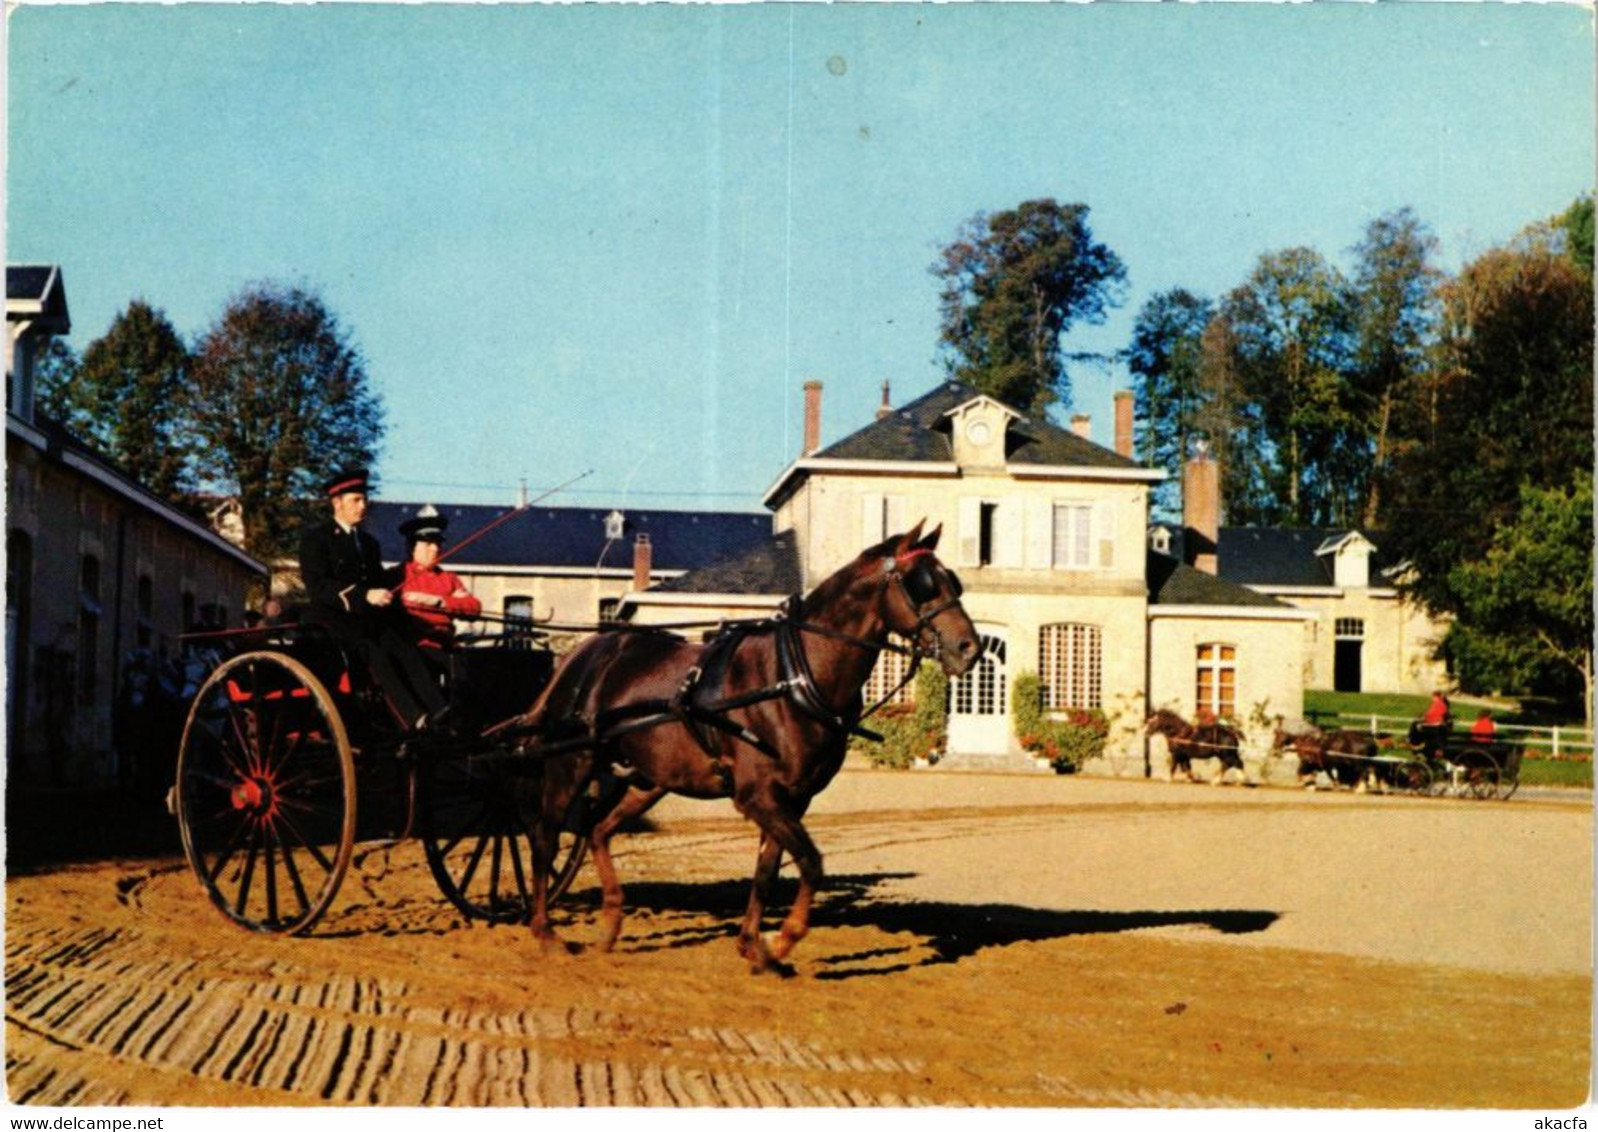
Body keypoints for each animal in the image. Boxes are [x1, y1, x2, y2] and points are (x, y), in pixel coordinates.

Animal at [517, 524, 977, 972]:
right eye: (923, 584)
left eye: (951, 580)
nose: (970, 648)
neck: (792, 676)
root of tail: (581, 654)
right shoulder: (757, 795)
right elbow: (811, 863)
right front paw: (783, 939)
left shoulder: (792, 798)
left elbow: (767, 871)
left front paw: (753, 947)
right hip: (570, 762)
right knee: (545, 836)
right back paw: (545, 932)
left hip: (645, 779)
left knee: (597, 829)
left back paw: (611, 924)